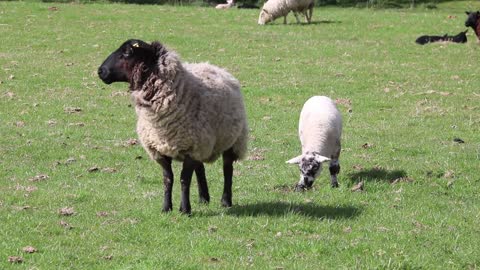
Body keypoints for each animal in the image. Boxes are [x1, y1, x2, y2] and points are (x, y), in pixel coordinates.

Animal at [96, 38, 249, 215]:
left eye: (127, 52)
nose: (101, 71)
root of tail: (213, 66)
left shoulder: (190, 149)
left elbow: (184, 179)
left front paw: (185, 209)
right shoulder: (160, 149)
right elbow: (168, 179)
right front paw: (166, 207)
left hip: (233, 140)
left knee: (227, 170)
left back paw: (225, 201)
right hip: (201, 144)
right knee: (200, 168)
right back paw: (203, 198)